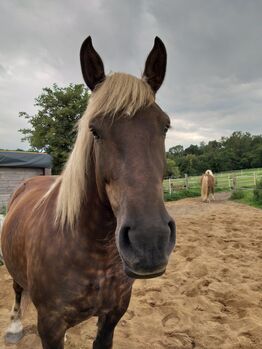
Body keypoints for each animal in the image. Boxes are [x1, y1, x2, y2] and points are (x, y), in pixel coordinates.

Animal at [0, 36, 176, 346]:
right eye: (94, 130)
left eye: (165, 126)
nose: (149, 241)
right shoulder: (50, 326)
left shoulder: (112, 316)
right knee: (17, 288)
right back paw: (14, 327)